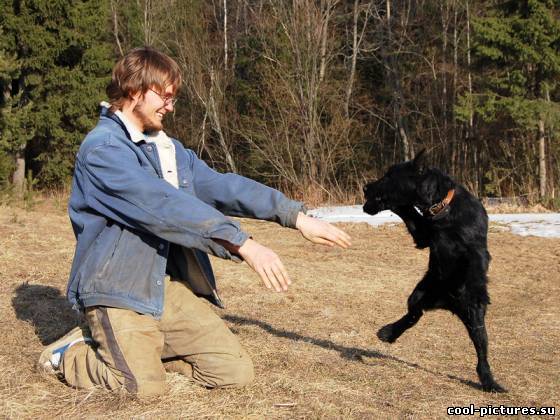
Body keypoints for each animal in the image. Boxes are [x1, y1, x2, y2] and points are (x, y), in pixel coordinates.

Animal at [366, 151, 506, 394]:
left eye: (389, 175)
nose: (366, 187)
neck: (442, 208)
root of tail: (447, 303)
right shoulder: (424, 236)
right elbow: (409, 212)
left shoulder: (474, 248)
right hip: (419, 295)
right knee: (414, 315)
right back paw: (389, 332)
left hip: (476, 320)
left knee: (481, 351)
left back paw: (489, 381)